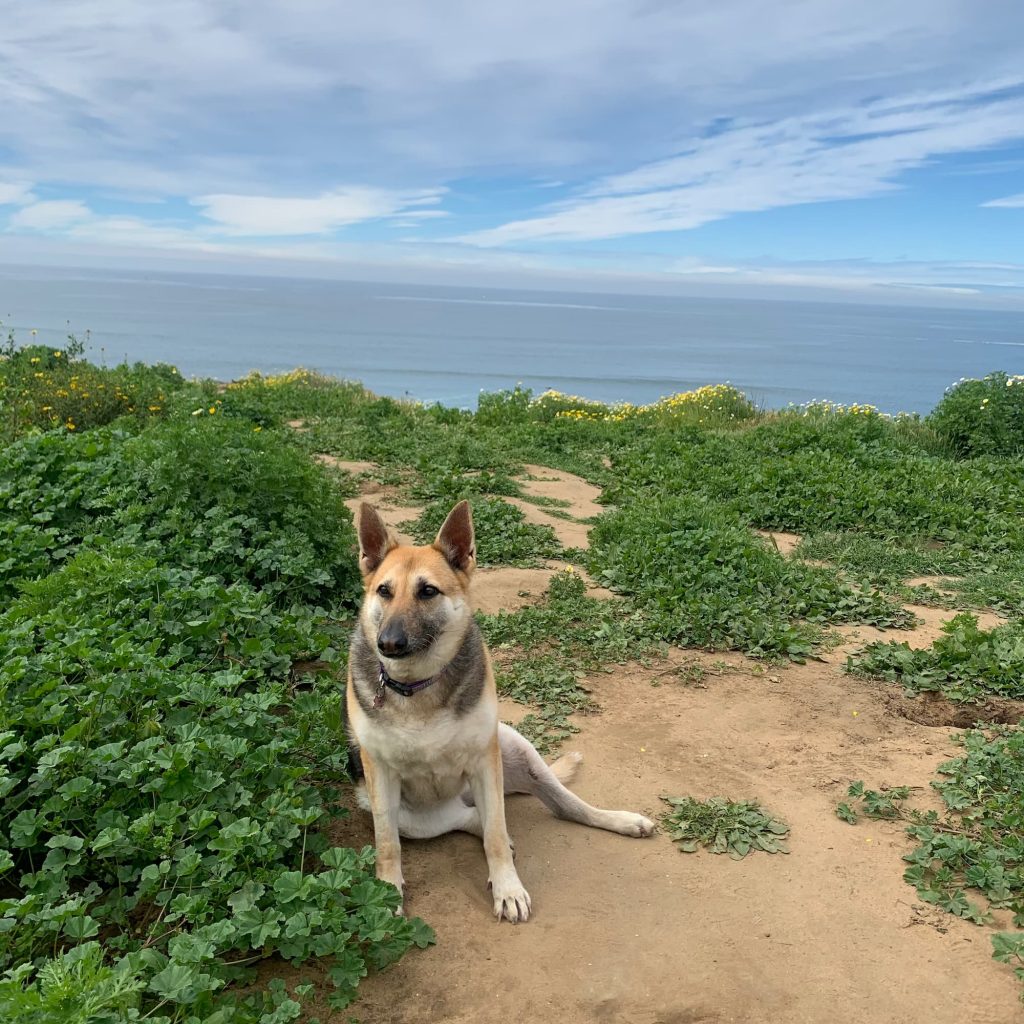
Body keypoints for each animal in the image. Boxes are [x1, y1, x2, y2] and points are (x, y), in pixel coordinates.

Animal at [339, 499, 651, 925]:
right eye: (384, 591)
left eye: (428, 591)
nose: (388, 643)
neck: (419, 685)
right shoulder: (380, 777)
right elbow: (388, 846)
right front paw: (386, 895)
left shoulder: (485, 763)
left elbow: (496, 838)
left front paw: (508, 889)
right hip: (400, 812)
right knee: (471, 821)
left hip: (516, 752)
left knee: (558, 809)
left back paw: (620, 820)